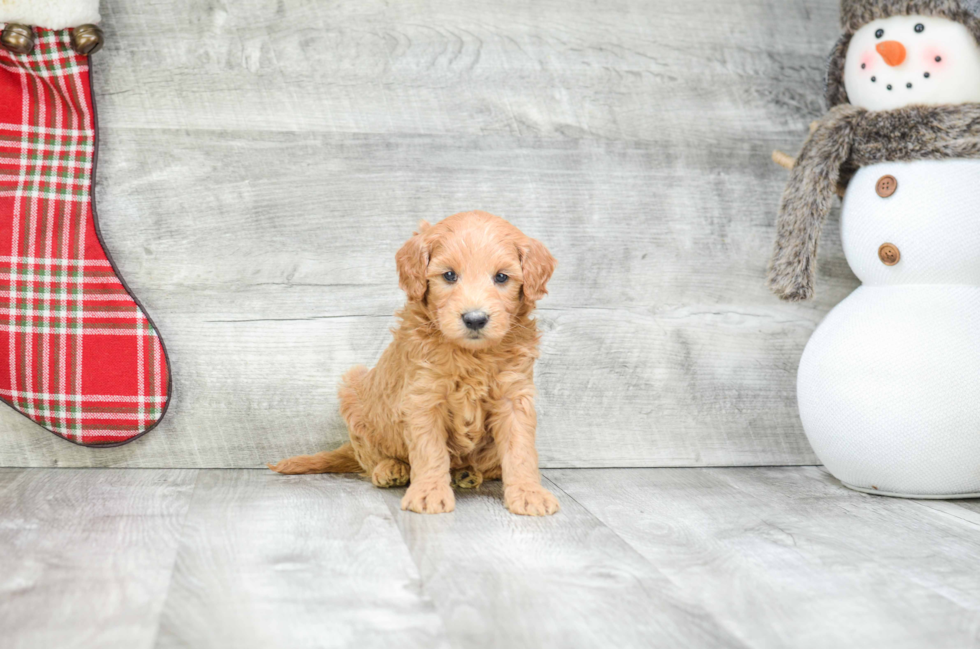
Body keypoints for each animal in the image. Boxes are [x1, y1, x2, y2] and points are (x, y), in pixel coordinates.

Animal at [268, 210, 560, 512]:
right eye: (449, 275)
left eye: (501, 277)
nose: (475, 319)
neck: (471, 354)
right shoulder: (423, 397)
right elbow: (430, 450)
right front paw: (429, 493)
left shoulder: (514, 396)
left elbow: (520, 450)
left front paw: (529, 493)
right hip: (354, 398)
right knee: (371, 459)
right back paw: (391, 469)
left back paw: (466, 473)